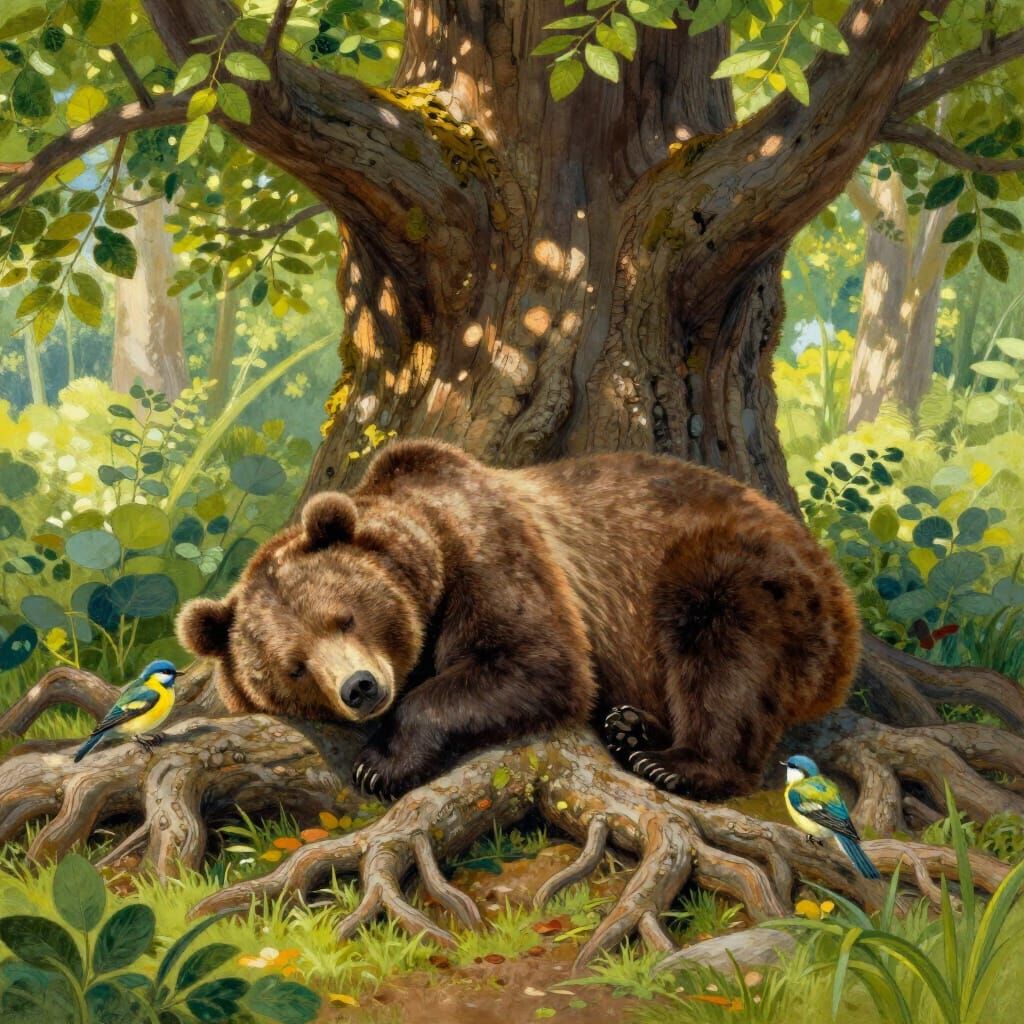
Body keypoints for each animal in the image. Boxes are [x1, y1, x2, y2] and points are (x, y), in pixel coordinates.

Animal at [176, 439, 860, 801]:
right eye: (294, 666)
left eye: (345, 618)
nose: (361, 687)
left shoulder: (493, 553)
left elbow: (538, 661)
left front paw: (384, 761)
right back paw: (631, 727)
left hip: (743, 571)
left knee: (723, 647)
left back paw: (676, 761)